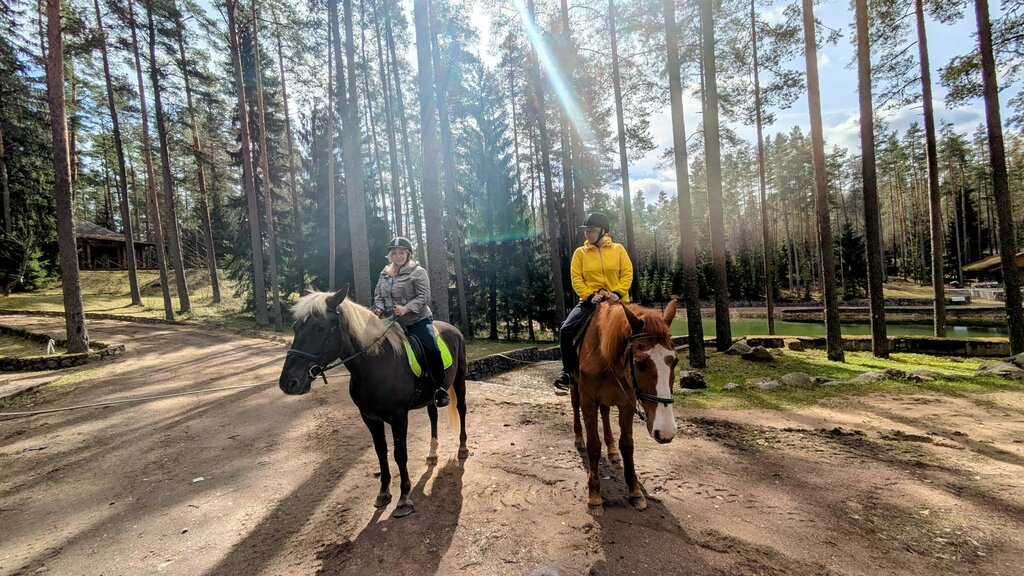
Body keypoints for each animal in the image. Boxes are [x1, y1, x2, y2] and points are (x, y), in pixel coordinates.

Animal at [278, 286, 469, 518]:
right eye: (296, 327)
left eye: (320, 328)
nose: (288, 383)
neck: (376, 364)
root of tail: (454, 329)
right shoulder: (370, 418)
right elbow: (381, 453)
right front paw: (384, 493)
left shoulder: (398, 417)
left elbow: (400, 454)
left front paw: (404, 499)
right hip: (431, 395)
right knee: (433, 416)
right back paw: (432, 453)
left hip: (459, 380)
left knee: (461, 410)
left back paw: (463, 448)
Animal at [569, 299, 679, 516]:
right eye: (639, 363)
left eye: (675, 361)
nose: (666, 432)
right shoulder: (588, 401)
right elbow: (593, 445)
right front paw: (595, 496)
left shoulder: (627, 402)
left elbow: (627, 445)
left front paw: (635, 492)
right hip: (575, 386)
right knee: (575, 405)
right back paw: (578, 439)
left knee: (605, 413)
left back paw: (612, 450)